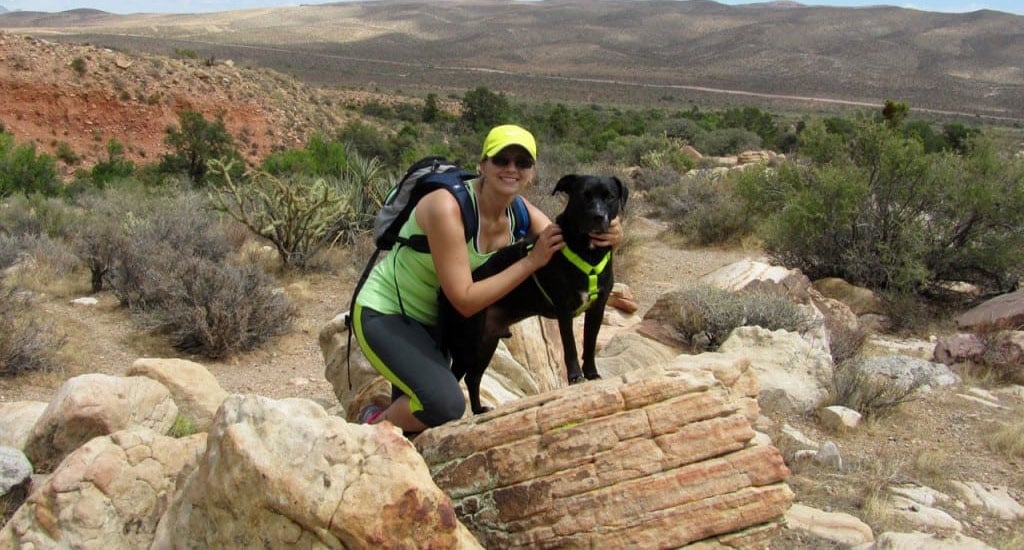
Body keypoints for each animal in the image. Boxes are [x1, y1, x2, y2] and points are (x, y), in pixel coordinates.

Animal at [438, 174, 622, 413]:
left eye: (609, 197)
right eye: (584, 195)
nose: (597, 216)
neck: (588, 251)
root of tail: (445, 294)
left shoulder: (597, 309)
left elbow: (589, 345)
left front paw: (592, 373)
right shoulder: (564, 310)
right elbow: (570, 347)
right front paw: (575, 377)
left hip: (487, 341)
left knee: (472, 377)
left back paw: (478, 410)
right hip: (466, 342)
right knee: (455, 378)